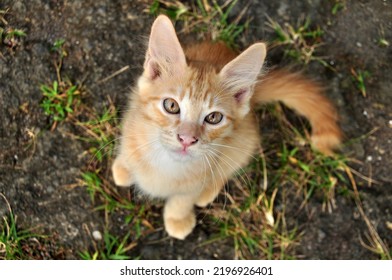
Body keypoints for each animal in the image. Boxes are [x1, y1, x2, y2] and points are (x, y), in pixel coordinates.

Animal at [111, 14, 340, 238]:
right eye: (172, 106)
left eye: (213, 117)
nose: (187, 139)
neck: (167, 164)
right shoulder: (131, 118)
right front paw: (124, 167)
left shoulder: (201, 175)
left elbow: (183, 198)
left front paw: (178, 218)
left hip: (242, 143)